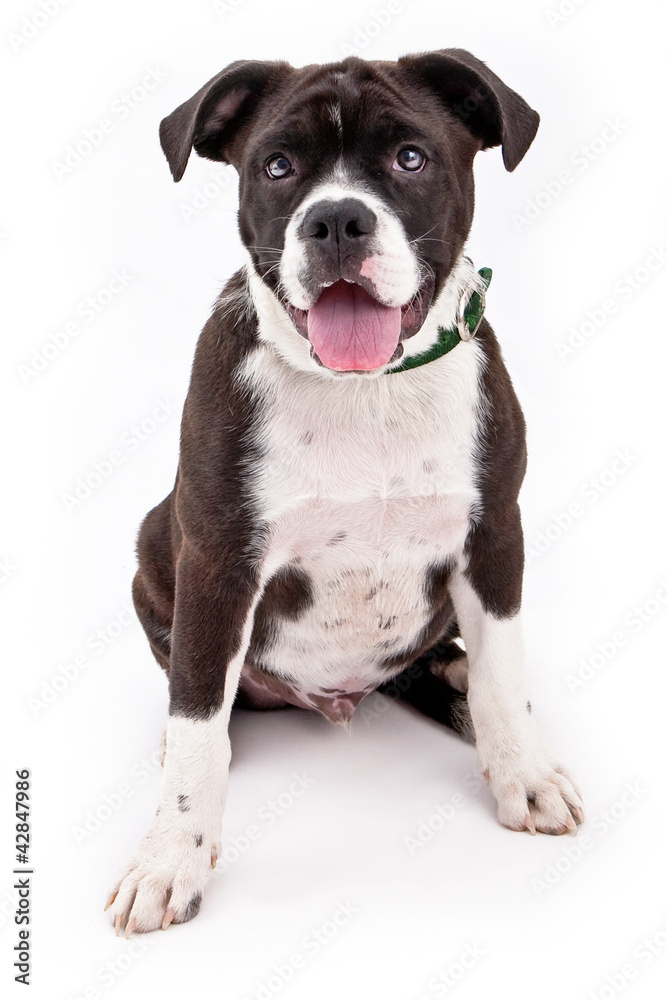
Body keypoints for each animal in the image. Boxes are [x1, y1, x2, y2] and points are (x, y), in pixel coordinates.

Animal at [104, 48, 584, 936]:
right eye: (277, 166)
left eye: (410, 158)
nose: (335, 221)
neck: (363, 391)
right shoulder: (216, 560)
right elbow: (198, 730)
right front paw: (168, 858)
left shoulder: (494, 535)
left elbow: (503, 679)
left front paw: (523, 775)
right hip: (156, 542)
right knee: (198, 688)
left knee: (449, 669)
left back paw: (457, 685)